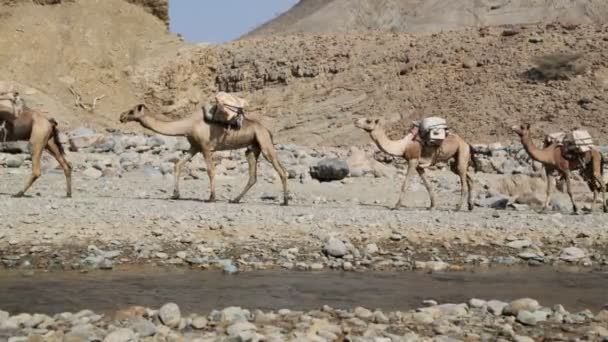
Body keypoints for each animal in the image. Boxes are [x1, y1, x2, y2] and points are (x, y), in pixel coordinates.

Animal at [120, 104, 290, 204]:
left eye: (132, 111)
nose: (121, 117)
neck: (187, 126)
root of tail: (267, 130)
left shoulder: (206, 147)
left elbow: (210, 171)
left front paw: (211, 198)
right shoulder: (194, 147)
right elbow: (178, 164)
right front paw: (175, 195)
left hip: (264, 143)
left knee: (281, 170)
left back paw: (285, 201)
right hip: (253, 147)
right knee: (253, 174)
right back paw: (235, 199)